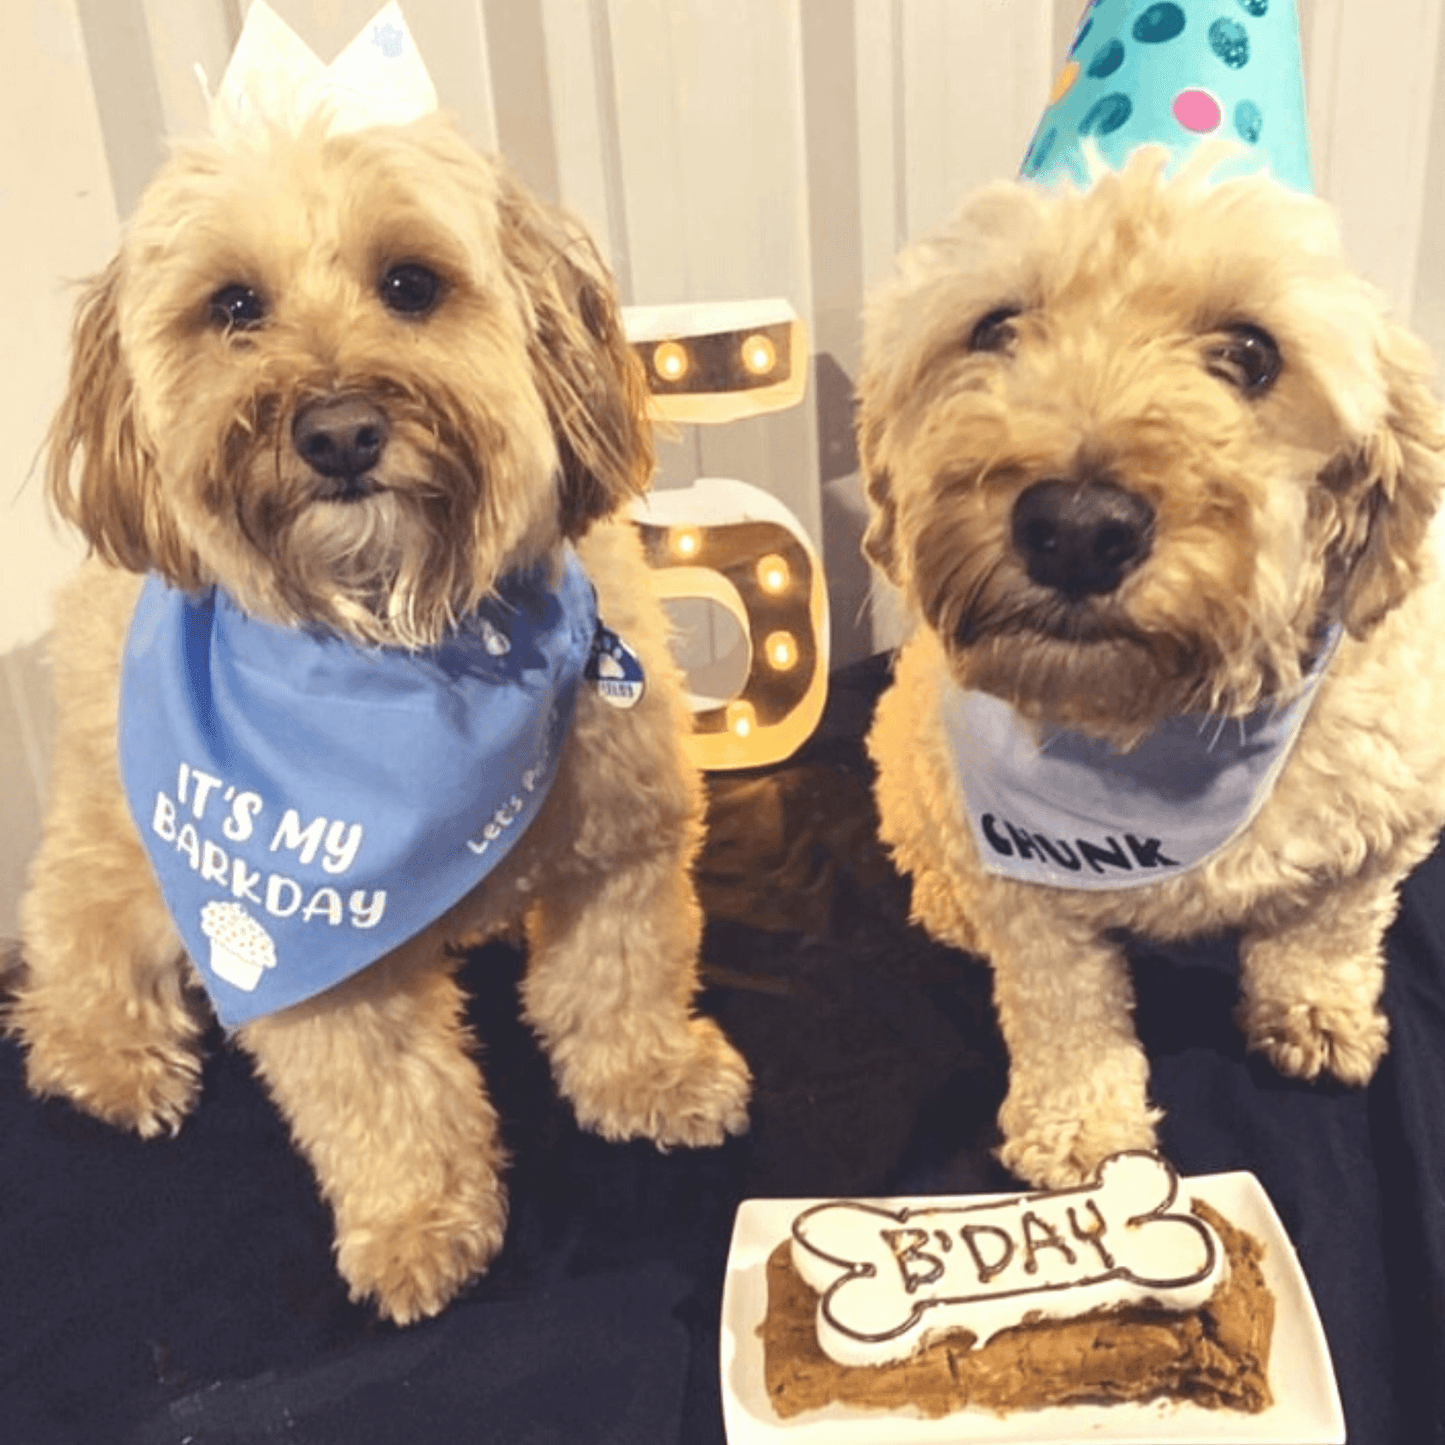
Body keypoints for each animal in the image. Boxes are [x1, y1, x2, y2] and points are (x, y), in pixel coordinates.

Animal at [11, 118, 751, 1323]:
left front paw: (650, 1075)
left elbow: (617, 978)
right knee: (71, 924)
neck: (415, 631)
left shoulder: (623, 847)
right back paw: (106, 1055)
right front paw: (416, 1221)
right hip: (132, 849)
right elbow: (383, 1092)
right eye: (233, 304)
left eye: (411, 282)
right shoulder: (311, 945)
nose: (339, 431)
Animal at [855, 143, 1445, 1184]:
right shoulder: (1029, 887)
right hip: (906, 748)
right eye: (994, 328)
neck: (1156, 723)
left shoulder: (1386, 826)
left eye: (1250, 352)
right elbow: (1063, 1009)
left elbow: (1330, 928)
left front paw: (1314, 1008)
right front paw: (1082, 1126)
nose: (1075, 529)